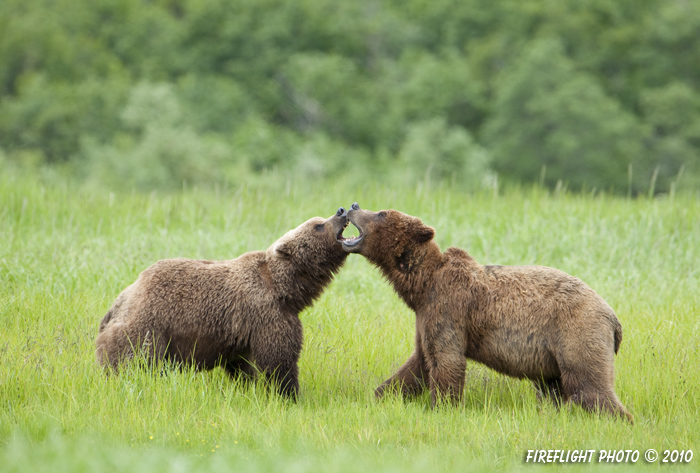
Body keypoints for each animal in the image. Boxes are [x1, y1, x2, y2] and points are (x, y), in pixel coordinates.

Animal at [94, 207, 350, 398]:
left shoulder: (242, 333)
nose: (341, 211)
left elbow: (242, 365)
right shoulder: (267, 315)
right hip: (149, 327)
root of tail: (122, 298)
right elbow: (279, 359)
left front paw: (247, 387)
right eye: (318, 225)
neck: (286, 291)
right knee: (135, 360)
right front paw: (289, 394)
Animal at [340, 202, 636, 420]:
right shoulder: (425, 316)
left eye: (381, 213)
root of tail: (613, 318)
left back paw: (620, 419)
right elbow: (418, 363)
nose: (353, 206)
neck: (422, 284)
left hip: (577, 331)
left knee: (589, 385)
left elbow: (446, 361)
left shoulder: (448, 309)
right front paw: (379, 395)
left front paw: (443, 408)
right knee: (554, 389)